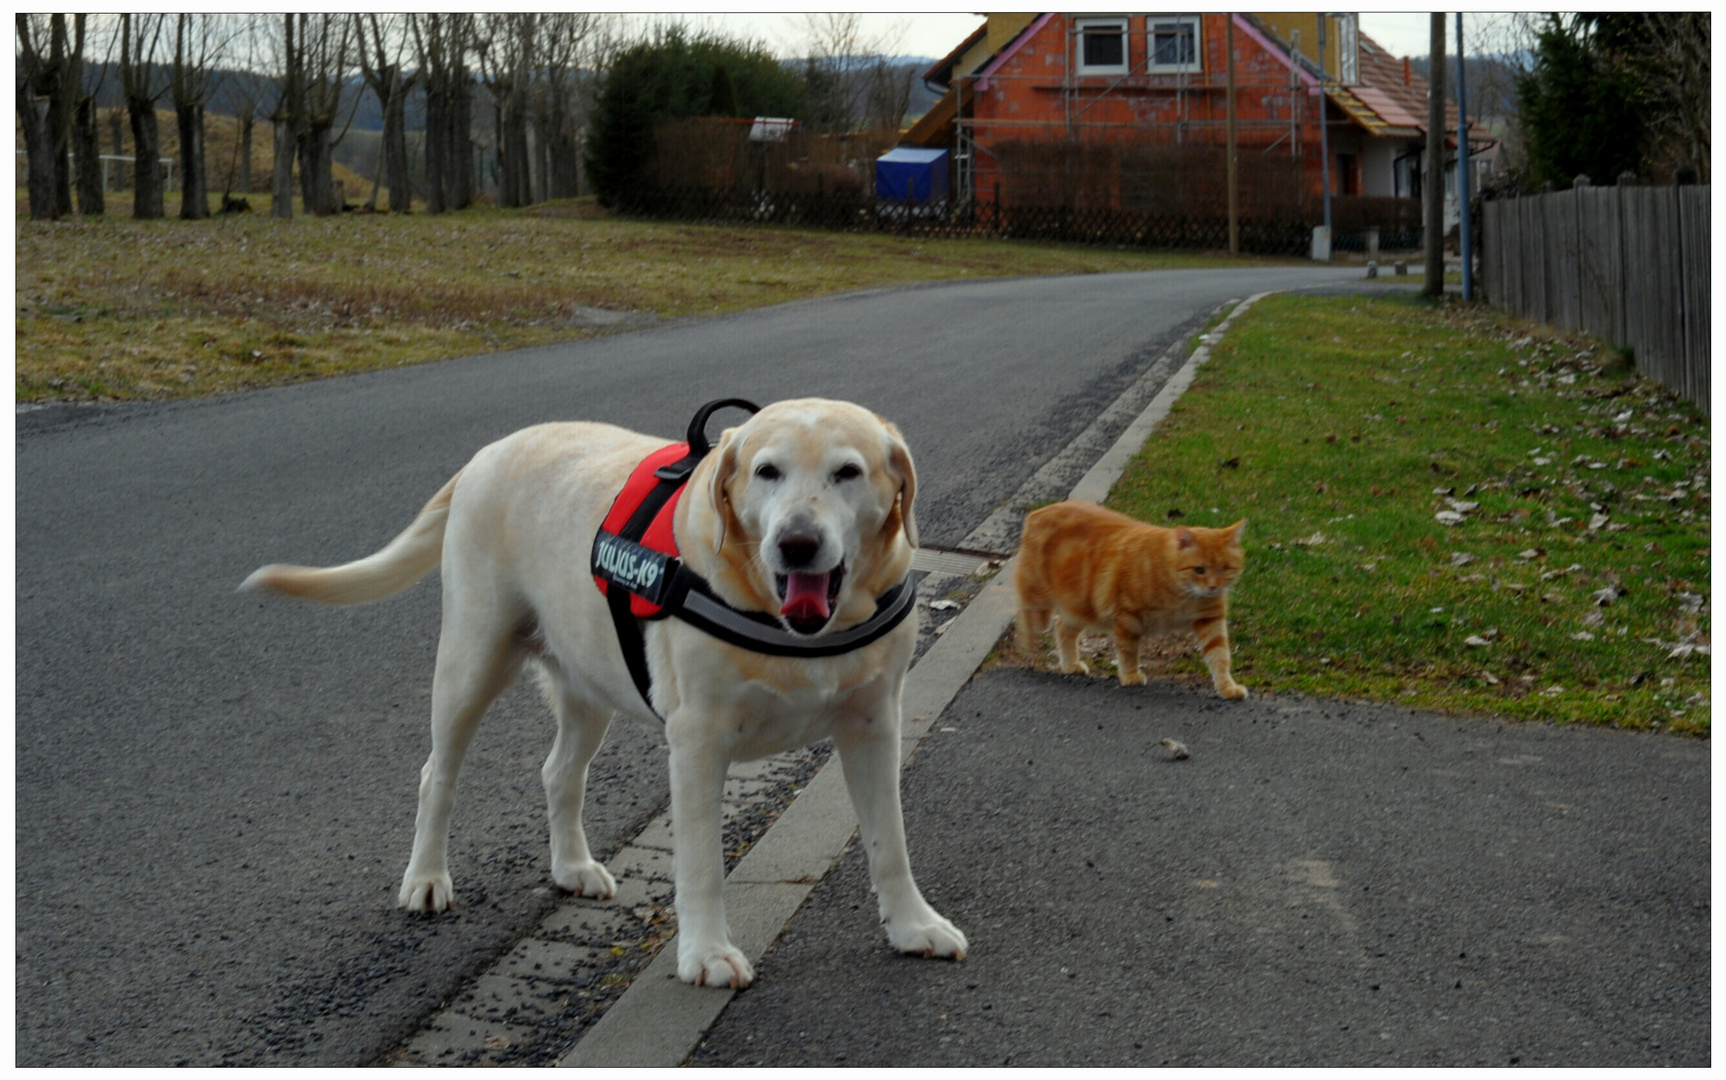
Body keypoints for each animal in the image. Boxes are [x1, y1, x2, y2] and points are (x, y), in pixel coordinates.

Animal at [241, 395, 966, 986]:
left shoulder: (875, 725)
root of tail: (488, 452)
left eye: (848, 472)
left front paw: (913, 925)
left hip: (588, 683)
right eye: (768, 472)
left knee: (559, 772)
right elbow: (700, 865)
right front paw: (706, 954)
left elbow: (890, 843)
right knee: (436, 776)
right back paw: (425, 879)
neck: (799, 626)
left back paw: (572, 866)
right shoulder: (698, 743)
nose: (796, 543)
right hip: (471, 664)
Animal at [1007, 496, 1242, 693]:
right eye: (1199, 570)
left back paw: (1070, 664)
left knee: (1062, 628)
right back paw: (1028, 648)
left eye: (1224, 569)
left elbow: (1220, 656)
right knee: (1025, 618)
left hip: (1080, 607)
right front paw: (1130, 676)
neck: (1182, 592)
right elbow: (1129, 652)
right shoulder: (1128, 618)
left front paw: (1227, 687)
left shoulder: (1210, 620)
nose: (1212, 587)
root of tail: (1036, 513)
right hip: (1039, 602)